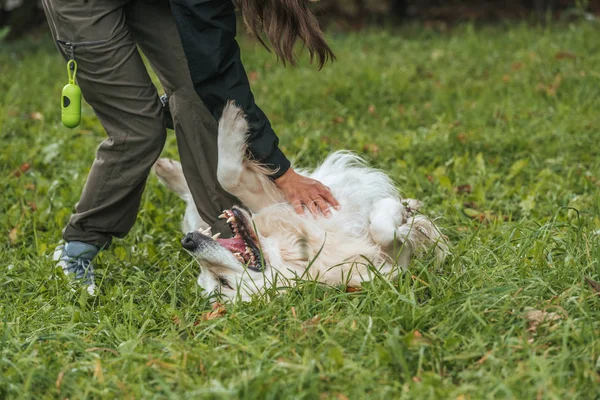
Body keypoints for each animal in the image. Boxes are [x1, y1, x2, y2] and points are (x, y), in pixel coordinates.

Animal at [155, 101, 446, 302]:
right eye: (223, 283)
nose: (188, 242)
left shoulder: (278, 199)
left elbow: (228, 174)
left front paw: (230, 122)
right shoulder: (390, 265)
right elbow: (385, 231)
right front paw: (409, 222)